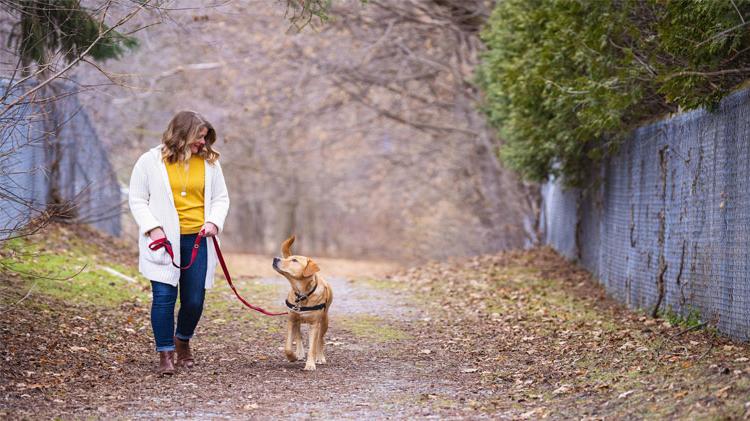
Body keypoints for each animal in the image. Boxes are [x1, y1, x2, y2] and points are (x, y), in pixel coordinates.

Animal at [274, 235, 334, 370]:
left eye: (294, 260)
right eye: (288, 259)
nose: (275, 259)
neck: (302, 295)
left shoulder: (315, 324)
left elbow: (313, 346)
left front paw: (311, 364)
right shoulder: (291, 320)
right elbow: (288, 346)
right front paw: (292, 357)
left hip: (324, 321)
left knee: (320, 340)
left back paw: (320, 357)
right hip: (297, 319)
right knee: (299, 335)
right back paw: (300, 352)